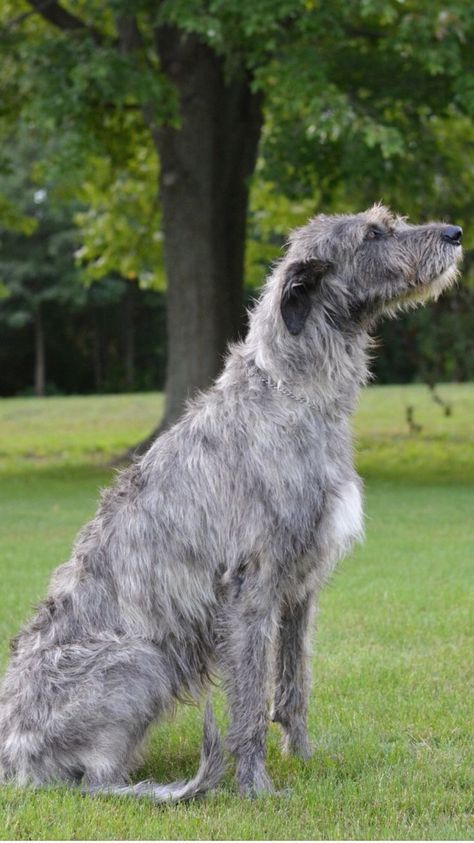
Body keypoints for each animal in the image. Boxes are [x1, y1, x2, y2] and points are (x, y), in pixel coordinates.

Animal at [0, 206, 462, 804]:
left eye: (388, 220)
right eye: (374, 234)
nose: (455, 234)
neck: (290, 393)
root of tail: (16, 756)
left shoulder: (300, 588)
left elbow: (293, 684)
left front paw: (304, 758)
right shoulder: (251, 589)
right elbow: (249, 699)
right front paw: (257, 789)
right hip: (142, 660)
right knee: (94, 785)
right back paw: (175, 786)